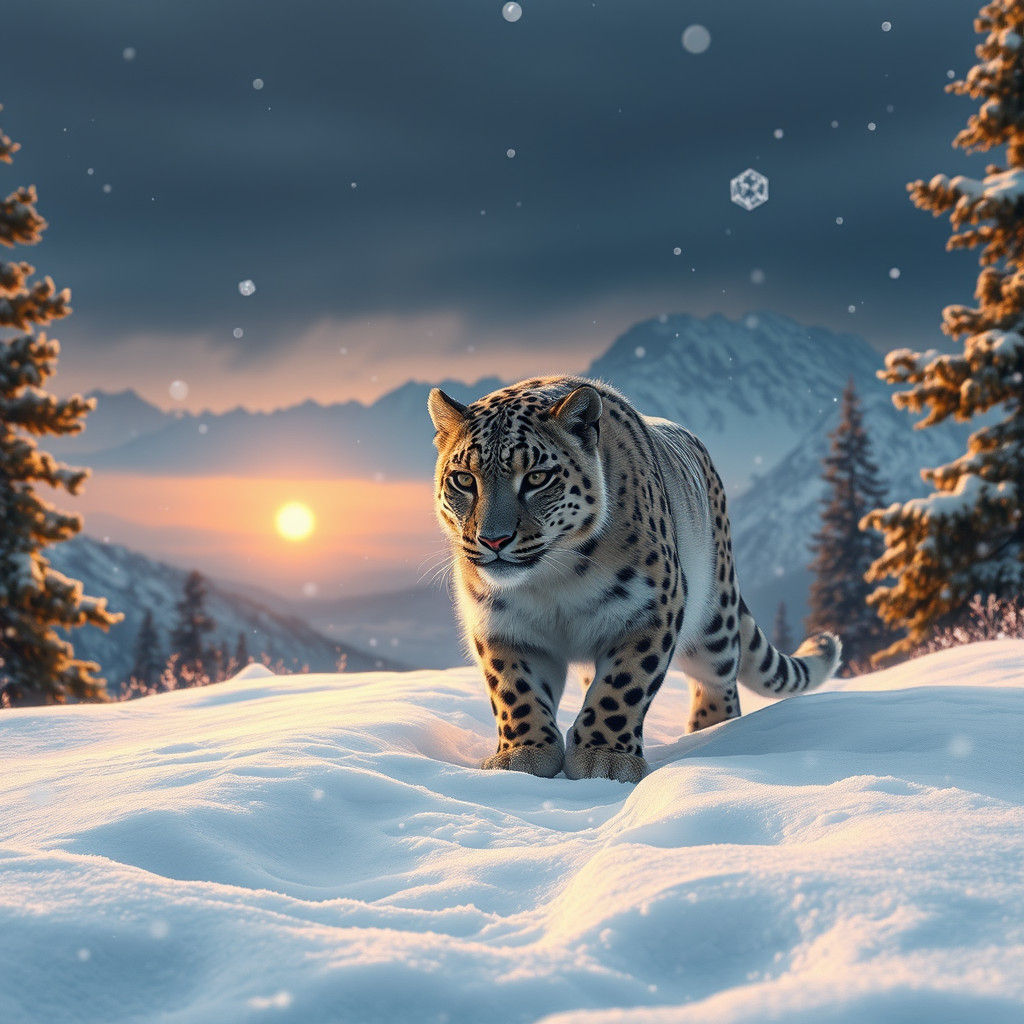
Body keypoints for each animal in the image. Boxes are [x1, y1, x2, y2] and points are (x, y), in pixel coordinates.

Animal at [428, 375, 842, 783]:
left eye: (537, 478)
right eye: (464, 480)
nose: (493, 540)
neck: (551, 581)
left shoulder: (649, 609)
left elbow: (622, 686)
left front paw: (603, 758)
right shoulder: (502, 623)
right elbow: (515, 689)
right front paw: (523, 754)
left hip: (715, 622)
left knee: (716, 682)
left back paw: (710, 735)